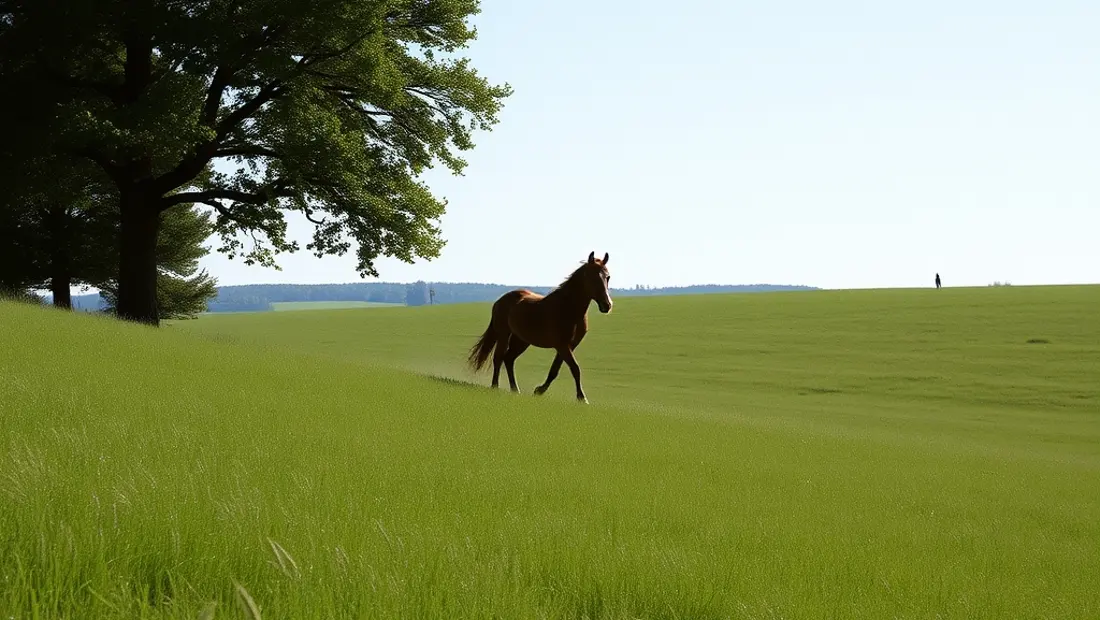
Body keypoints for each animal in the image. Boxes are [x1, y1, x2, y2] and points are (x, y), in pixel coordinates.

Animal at [466, 251, 613, 404]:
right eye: (592, 277)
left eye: (608, 277)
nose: (607, 305)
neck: (568, 307)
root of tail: (499, 301)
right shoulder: (562, 345)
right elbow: (575, 368)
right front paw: (582, 398)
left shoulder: (569, 346)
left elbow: (555, 370)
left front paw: (539, 391)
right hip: (504, 335)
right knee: (498, 357)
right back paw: (495, 386)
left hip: (521, 341)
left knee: (509, 359)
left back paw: (515, 389)